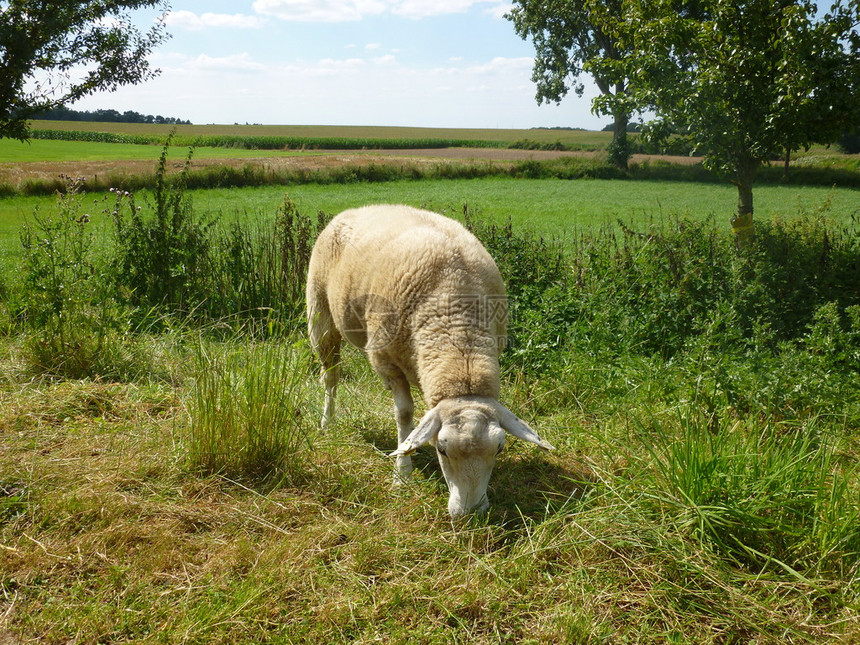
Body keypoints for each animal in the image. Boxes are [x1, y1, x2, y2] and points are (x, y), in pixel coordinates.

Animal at [306, 206, 556, 520]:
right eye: (442, 450)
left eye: (499, 450)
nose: (470, 513)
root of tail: (355, 210)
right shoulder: (387, 362)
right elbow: (404, 414)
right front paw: (402, 475)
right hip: (320, 314)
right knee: (331, 376)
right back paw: (327, 422)